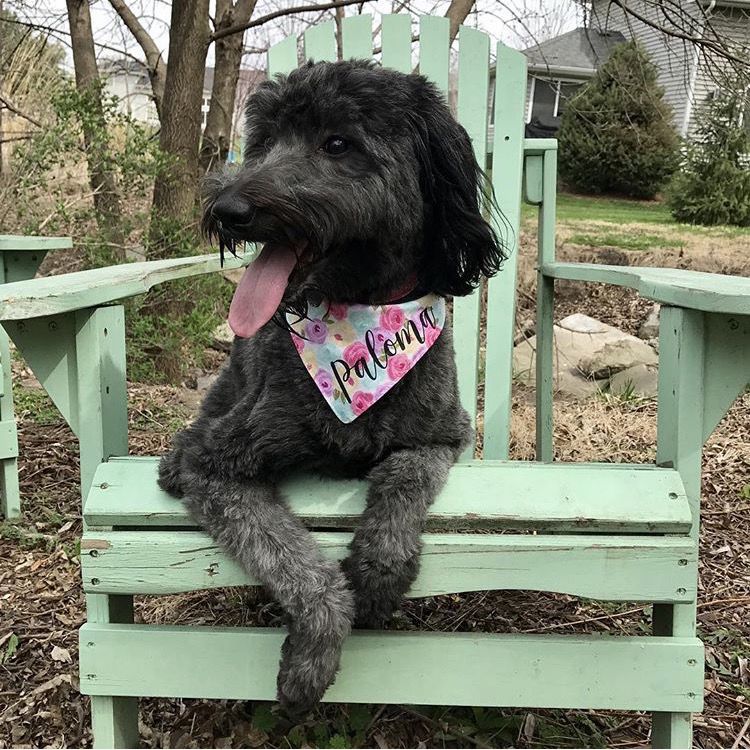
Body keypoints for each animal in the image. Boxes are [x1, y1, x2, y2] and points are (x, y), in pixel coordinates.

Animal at [159, 58, 506, 716]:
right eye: (264, 141)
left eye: (338, 143)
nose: (228, 209)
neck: (362, 324)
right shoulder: (214, 464)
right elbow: (296, 562)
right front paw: (312, 658)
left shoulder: (442, 437)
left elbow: (404, 480)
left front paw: (378, 572)